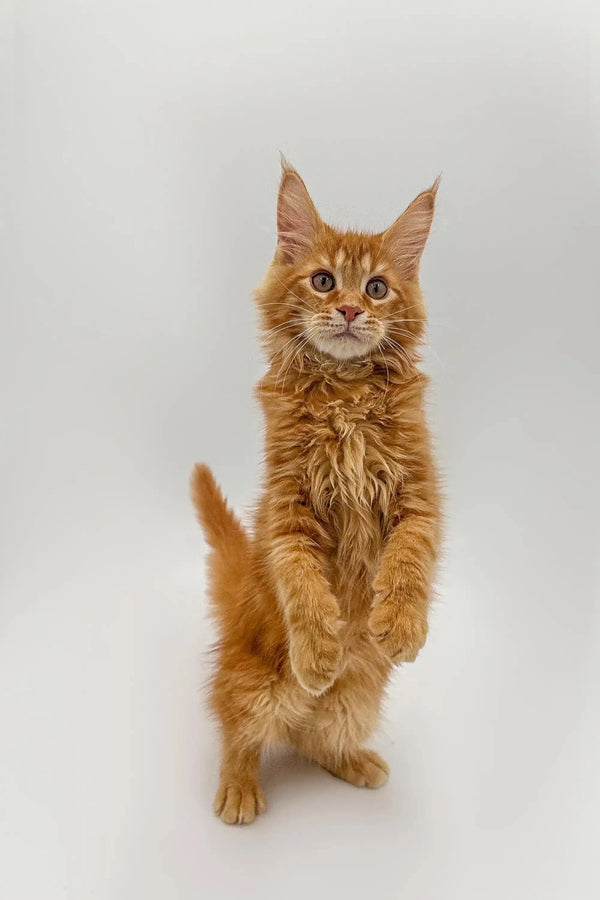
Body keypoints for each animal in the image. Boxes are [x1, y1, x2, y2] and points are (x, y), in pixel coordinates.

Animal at [192, 160, 440, 824]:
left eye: (377, 288)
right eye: (324, 281)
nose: (351, 310)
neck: (346, 395)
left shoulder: (419, 492)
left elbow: (411, 558)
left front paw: (401, 625)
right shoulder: (287, 508)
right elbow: (302, 583)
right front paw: (318, 650)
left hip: (355, 701)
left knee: (313, 739)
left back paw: (355, 760)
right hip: (256, 685)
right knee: (238, 730)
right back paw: (240, 787)